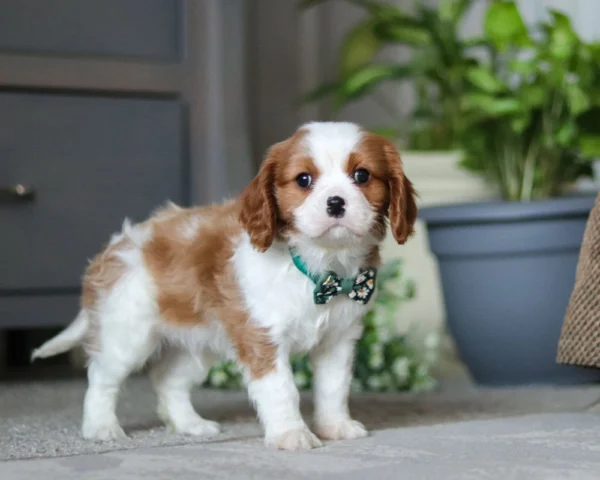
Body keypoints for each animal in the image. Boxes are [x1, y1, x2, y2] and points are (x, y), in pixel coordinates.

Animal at [32, 121, 418, 450]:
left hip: (198, 343)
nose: (336, 203)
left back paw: (190, 425)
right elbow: (283, 390)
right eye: (304, 179)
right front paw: (291, 435)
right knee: (102, 377)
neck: (321, 270)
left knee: (168, 380)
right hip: (128, 334)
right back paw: (100, 427)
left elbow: (334, 387)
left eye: (362, 175)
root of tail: (114, 248)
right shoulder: (262, 340)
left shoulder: (338, 339)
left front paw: (335, 426)